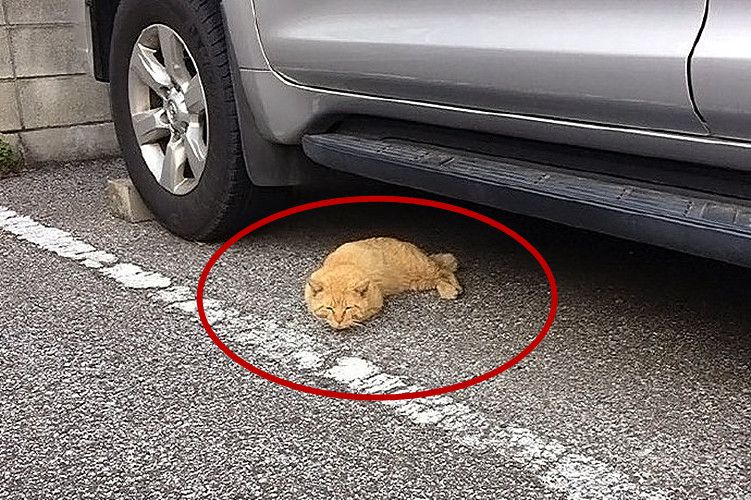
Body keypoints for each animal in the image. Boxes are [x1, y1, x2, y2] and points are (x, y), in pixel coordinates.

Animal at [306, 237, 464, 330]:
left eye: (348, 308)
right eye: (329, 308)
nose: (339, 321)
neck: (341, 269)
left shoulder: (377, 302)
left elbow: (360, 315)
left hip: (422, 269)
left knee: (444, 271)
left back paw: (452, 289)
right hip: (419, 281)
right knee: (440, 277)